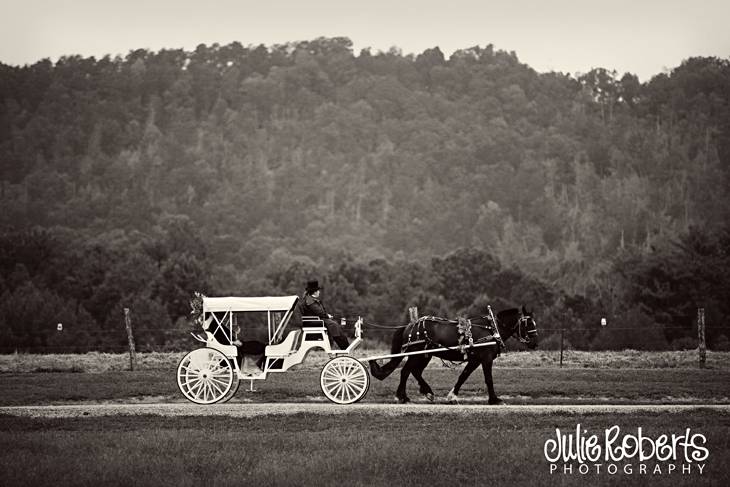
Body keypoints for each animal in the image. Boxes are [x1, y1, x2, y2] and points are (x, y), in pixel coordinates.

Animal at [370, 306, 536, 406]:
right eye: (528, 324)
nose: (535, 343)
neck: (491, 330)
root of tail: (409, 325)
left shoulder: (475, 360)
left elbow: (463, 376)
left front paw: (452, 396)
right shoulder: (486, 359)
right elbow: (489, 379)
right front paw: (495, 400)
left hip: (424, 355)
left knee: (415, 372)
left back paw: (427, 392)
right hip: (416, 354)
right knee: (406, 371)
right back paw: (403, 397)